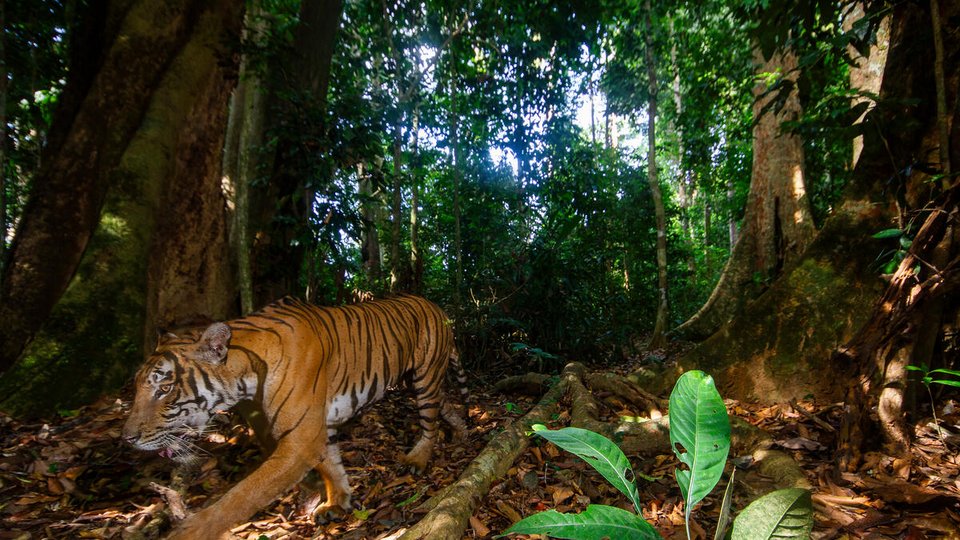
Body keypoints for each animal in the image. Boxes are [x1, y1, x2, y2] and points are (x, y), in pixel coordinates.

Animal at [122, 295, 468, 540]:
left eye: (164, 388)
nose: (127, 438)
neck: (246, 375)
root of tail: (433, 304)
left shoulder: (300, 438)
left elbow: (242, 495)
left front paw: (190, 531)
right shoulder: (317, 428)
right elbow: (331, 465)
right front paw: (338, 502)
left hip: (424, 377)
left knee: (430, 422)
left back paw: (419, 458)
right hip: (415, 379)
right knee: (445, 405)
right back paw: (461, 430)